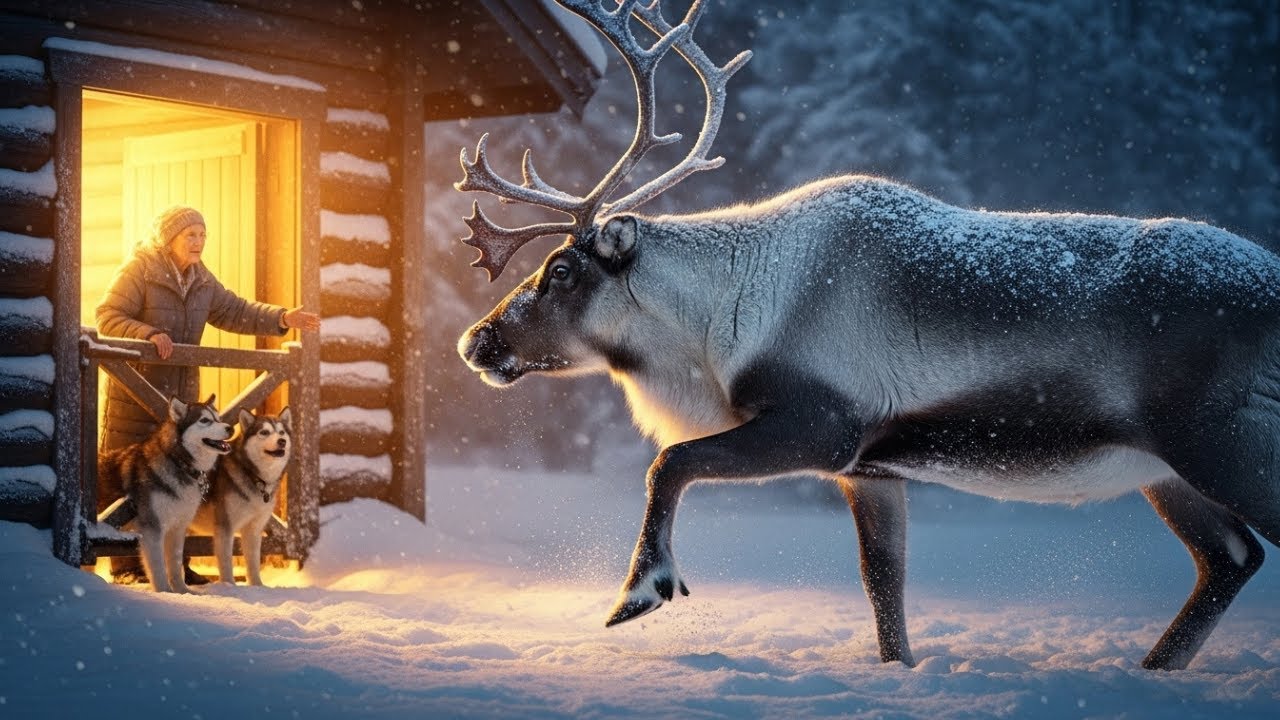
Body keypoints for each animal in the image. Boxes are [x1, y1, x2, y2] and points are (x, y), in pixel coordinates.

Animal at [455, 0, 1280, 670]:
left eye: (561, 270)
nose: (475, 342)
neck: (718, 325)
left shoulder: (821, 426)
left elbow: (671, 461)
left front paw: (640, 591)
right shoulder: (870, 469)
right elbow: (884, 588)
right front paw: (899, 673)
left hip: (1224, 440)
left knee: (1241, 549)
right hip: (1164, 466)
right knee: (1232, 557)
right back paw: (1155, 670)